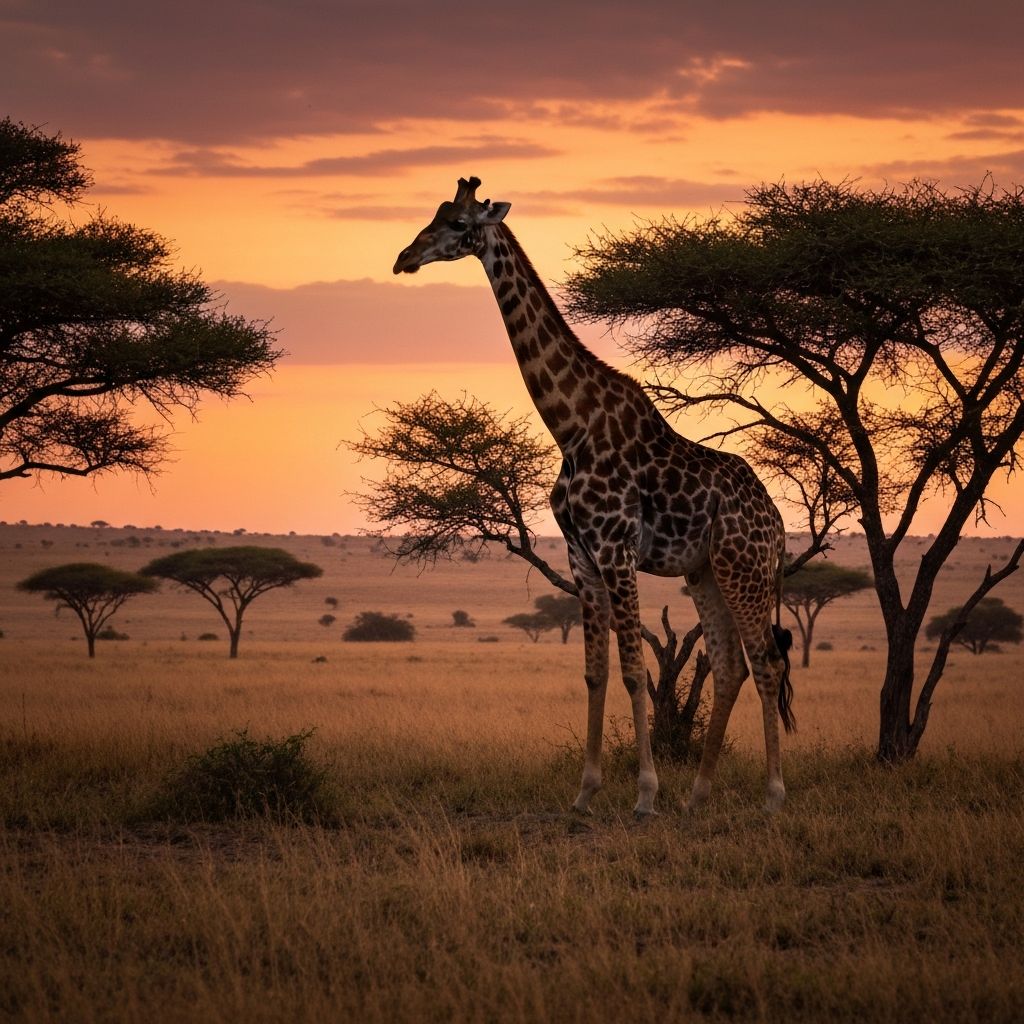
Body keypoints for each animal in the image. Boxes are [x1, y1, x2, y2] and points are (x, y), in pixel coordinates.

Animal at [393, 177, 794, 818]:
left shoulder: (615, 550)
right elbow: (595, 673)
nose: (404, 257)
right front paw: (585, 792)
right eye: (435, 214)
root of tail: (778, 525)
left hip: (744, 567)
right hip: (705, 570)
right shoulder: (580, 555)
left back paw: (773, 796)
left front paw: (645, 794)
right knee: (731, 666)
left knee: (767, 661)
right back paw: (698, 796)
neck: (571, 425)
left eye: (457, 223)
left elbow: (631, 670)